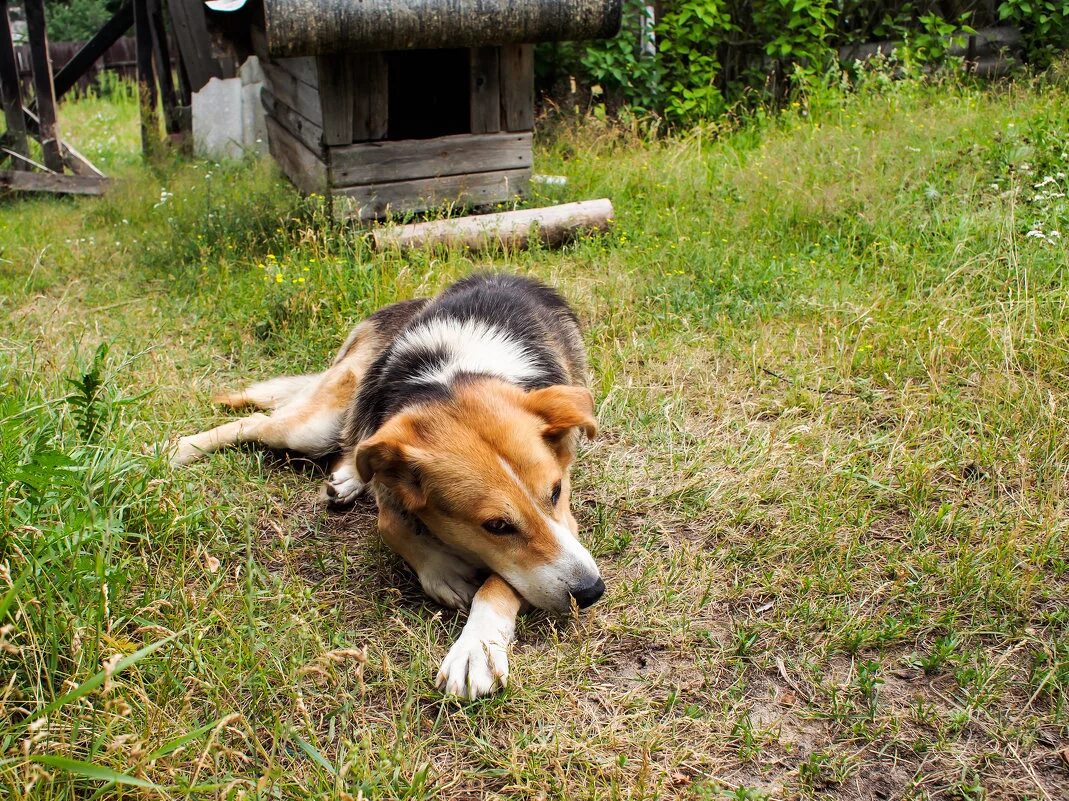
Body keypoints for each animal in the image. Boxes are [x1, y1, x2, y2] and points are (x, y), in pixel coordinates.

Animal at [176, 271, 611, 697]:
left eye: (556, 492)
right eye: (497, 526)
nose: (592, 591)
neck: (452, 377)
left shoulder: (567, 522)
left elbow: (501, 582)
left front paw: (477, 648)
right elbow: (390, 524)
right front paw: (442, 571)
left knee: (348, 447)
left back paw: (348, 476)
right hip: (312, 426)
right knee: (258, 423)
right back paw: (175, 449)